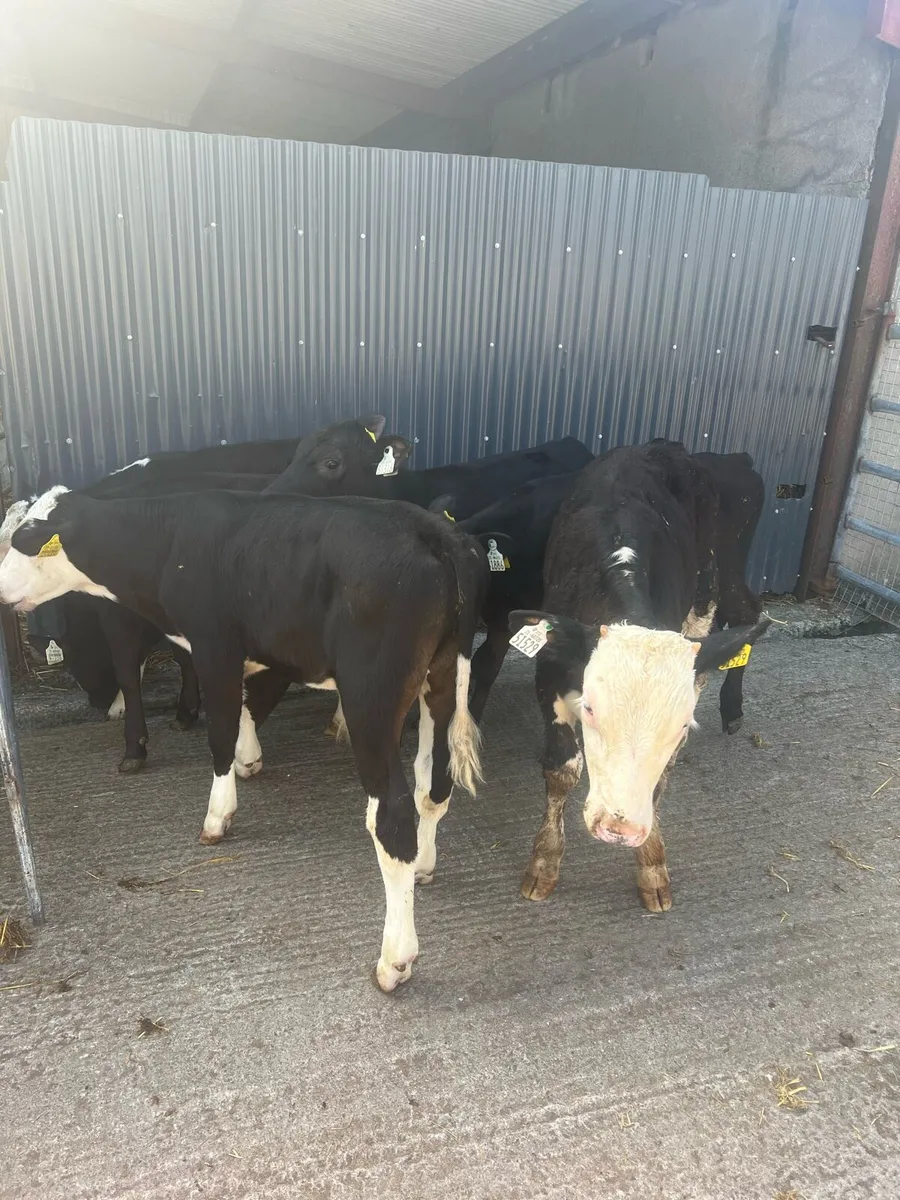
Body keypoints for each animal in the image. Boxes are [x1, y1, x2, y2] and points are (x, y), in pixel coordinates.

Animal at [0, 486, 486, 992]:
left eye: (25, 539)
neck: (171, 541)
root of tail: (433, 529)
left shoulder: (214, 648)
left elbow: (219, 734)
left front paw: (218, 815)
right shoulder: (254, 650)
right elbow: (248, 707)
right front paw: (248, 758)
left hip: (371, 697)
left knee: (392, 815)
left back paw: (395, 960)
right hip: (443, 675)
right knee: (433, 782)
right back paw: (424, 866)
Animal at [508, 440, 770, 912]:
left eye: (682, 725)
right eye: (590, 710)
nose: (620, 828)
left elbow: (661, 777)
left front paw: (651, 864)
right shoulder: (550, 669)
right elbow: (562, 769)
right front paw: (544, 863)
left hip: (716, 580)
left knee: (745, 614)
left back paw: (732, 708)